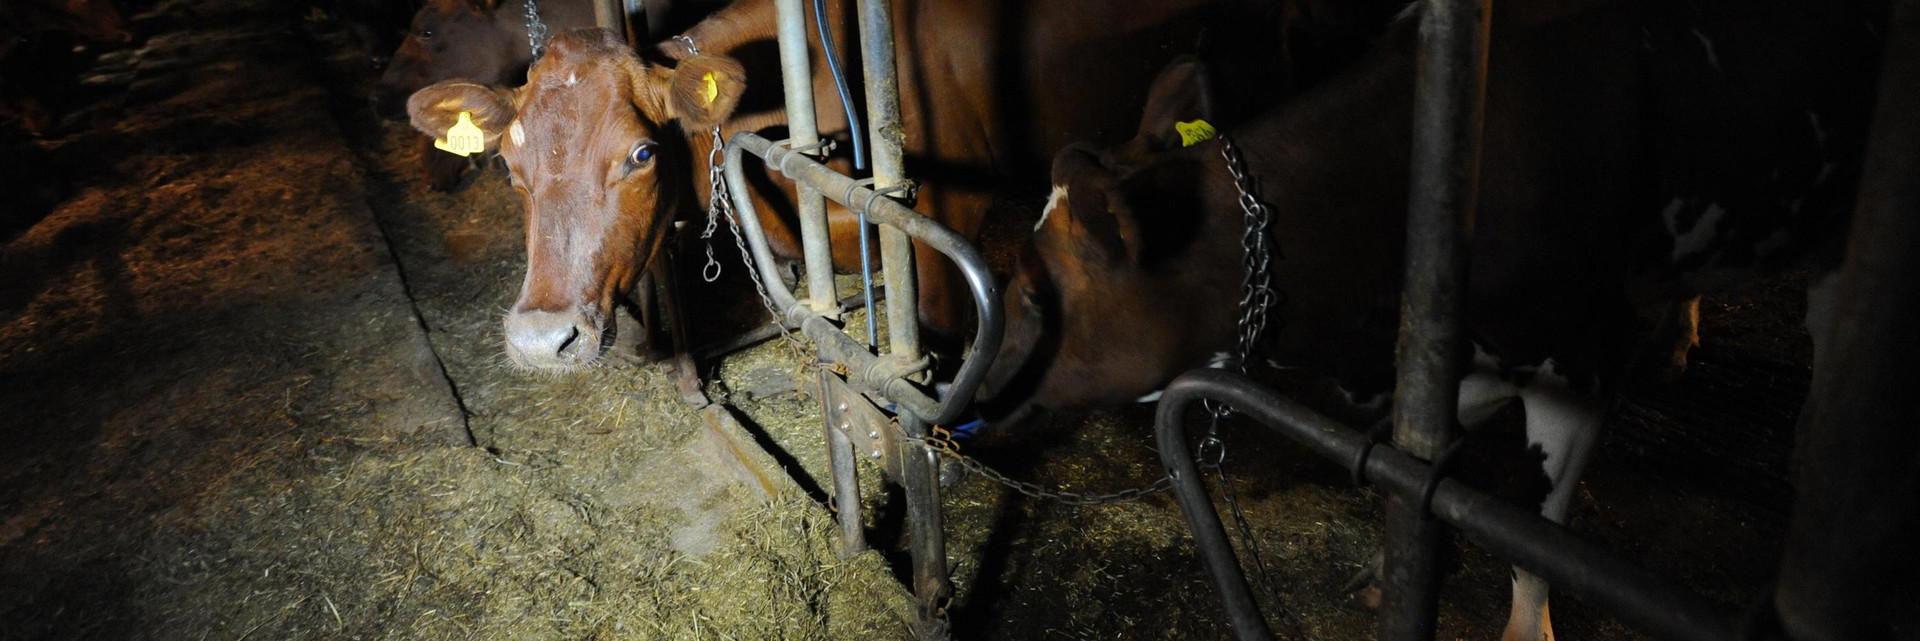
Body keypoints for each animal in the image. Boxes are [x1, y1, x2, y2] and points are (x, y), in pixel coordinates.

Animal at [974, 0, 1882, 638]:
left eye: (1031, 295)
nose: (968, 395)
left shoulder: (1580, 357)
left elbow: (1530, 521)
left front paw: (1523, 624)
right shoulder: (1443, 352)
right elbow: (1419, 456)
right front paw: (1392, 560)